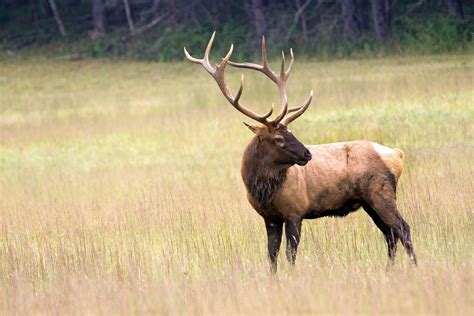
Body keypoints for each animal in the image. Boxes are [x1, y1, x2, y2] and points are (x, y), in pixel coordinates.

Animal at [183, 33, 416, 272]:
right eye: (279, 139)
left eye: (291, 132)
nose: (307, 154)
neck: (262, 190)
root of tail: (397, 154)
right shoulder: (270, 217)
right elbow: (272, 254)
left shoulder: (295, 211)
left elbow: (290, 254)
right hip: (369, 201)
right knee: (390, 233)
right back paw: (389, 268)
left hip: (380, 193)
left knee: (403, 228)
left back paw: (414, 265)